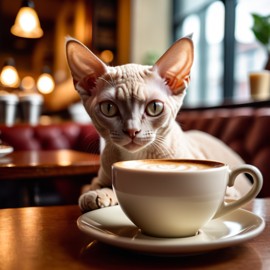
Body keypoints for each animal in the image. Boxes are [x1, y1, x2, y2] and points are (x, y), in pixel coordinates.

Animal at [65, 36, 251, 213]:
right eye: (108, 108)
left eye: (154, 107)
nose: (132, 130)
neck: (136, 157)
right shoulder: (99, 177)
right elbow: (97, 185)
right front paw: (96, 193)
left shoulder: (230, 193)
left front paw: (100, 195)